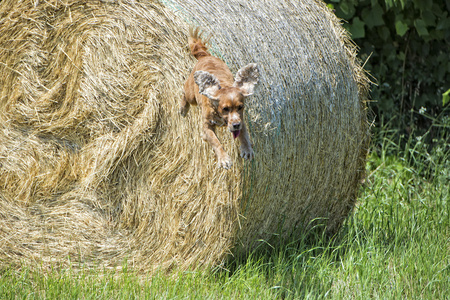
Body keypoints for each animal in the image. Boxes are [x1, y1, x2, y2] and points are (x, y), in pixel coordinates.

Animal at [180, 27, 258, 169]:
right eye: (225, 108)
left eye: (240, 107)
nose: (236, 125)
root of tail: (206, 56)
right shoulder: (207, 125)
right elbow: (216, 142)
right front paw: (224, 159)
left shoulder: (241, 120)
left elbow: (244, 135)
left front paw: (247, 150)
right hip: (191, 95)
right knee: (184, 93)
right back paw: (183, 108)